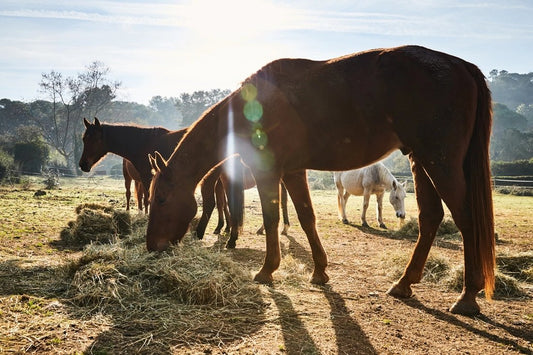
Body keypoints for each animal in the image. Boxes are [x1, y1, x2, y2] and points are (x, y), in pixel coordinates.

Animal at [77, 118, 245, 249]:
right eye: (84, 139)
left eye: (94, 139)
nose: (83, 165)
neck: (142, 143)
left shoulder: (147, 178)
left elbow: (147, 199)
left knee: (212, 203)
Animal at [147, 45, 494, 318]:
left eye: (160, 199)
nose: (152, 247)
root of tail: (461, 65)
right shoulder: (292, 172)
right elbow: (306, 217)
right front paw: (320, 271)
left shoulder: (269, 173)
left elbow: (272, 220)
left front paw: (267, 269)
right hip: (422, 162)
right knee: (431, 217)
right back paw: (404, 283)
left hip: (440, 163)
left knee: (465, 219)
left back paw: (467, 296)